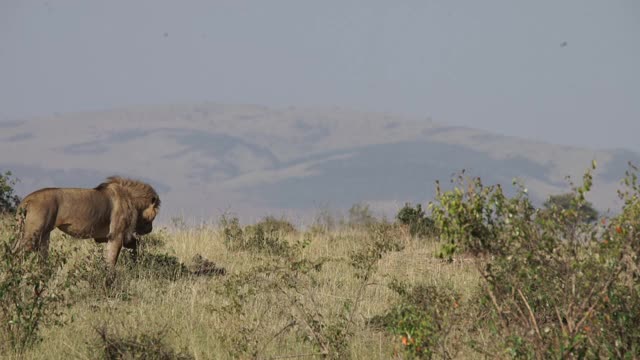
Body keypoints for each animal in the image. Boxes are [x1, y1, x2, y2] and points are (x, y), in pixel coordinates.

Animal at [13, 176, 160, 272]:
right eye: (154, 216)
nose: (150, 229)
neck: (131, 200)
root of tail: (26, 200)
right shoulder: (116, 235)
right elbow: (112, 261)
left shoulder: (105, 237)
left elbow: (135, 245)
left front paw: (135, 263)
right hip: (33, 234)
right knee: (17, 253)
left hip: (44, 235)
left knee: (41, 257)